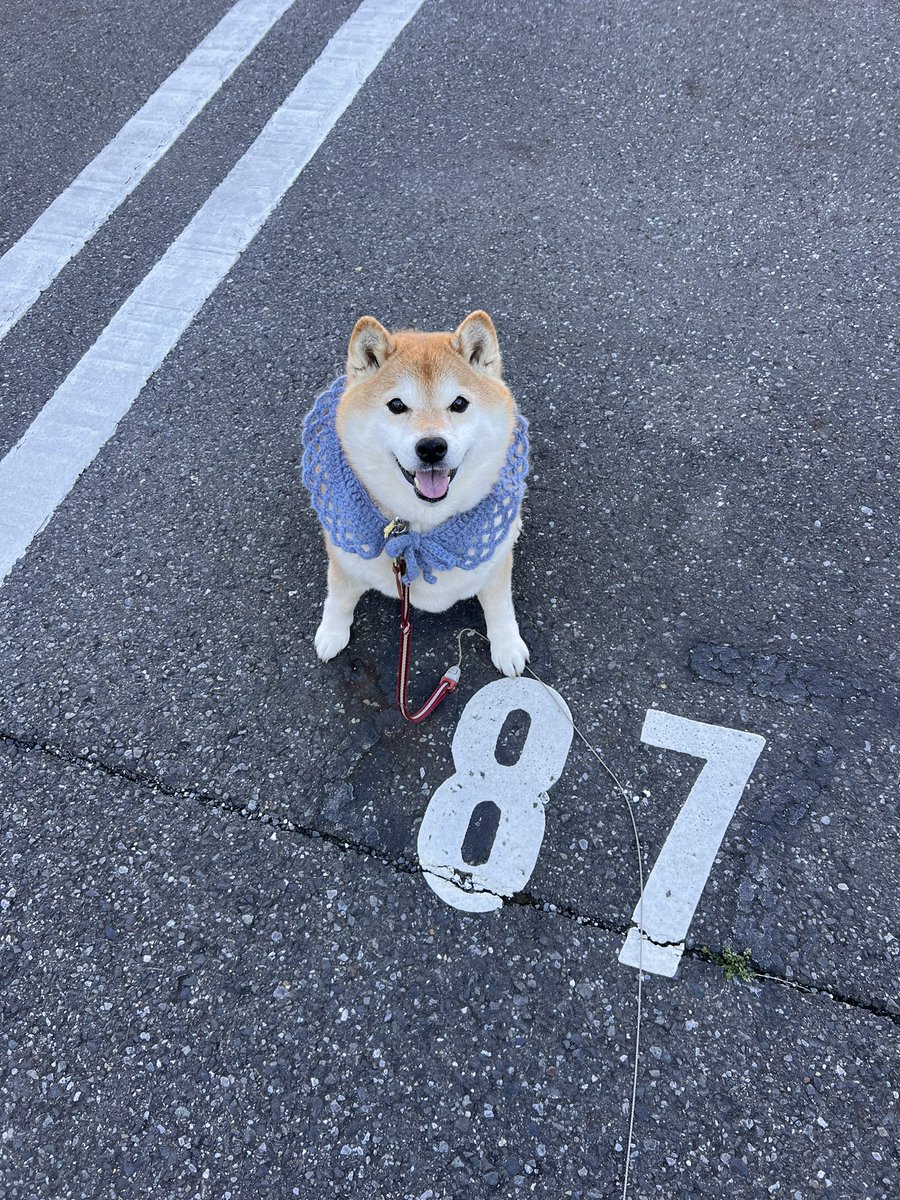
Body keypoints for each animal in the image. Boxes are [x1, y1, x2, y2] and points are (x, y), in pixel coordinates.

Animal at [303, 310, 530, 677]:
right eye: (397, 405)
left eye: (459, 403)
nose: (432, 447)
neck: (422, 528)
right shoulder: (345, 561)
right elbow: (338, 598)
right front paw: (332, 632)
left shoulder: (494, 567)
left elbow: (500, 606)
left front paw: (507, 645)